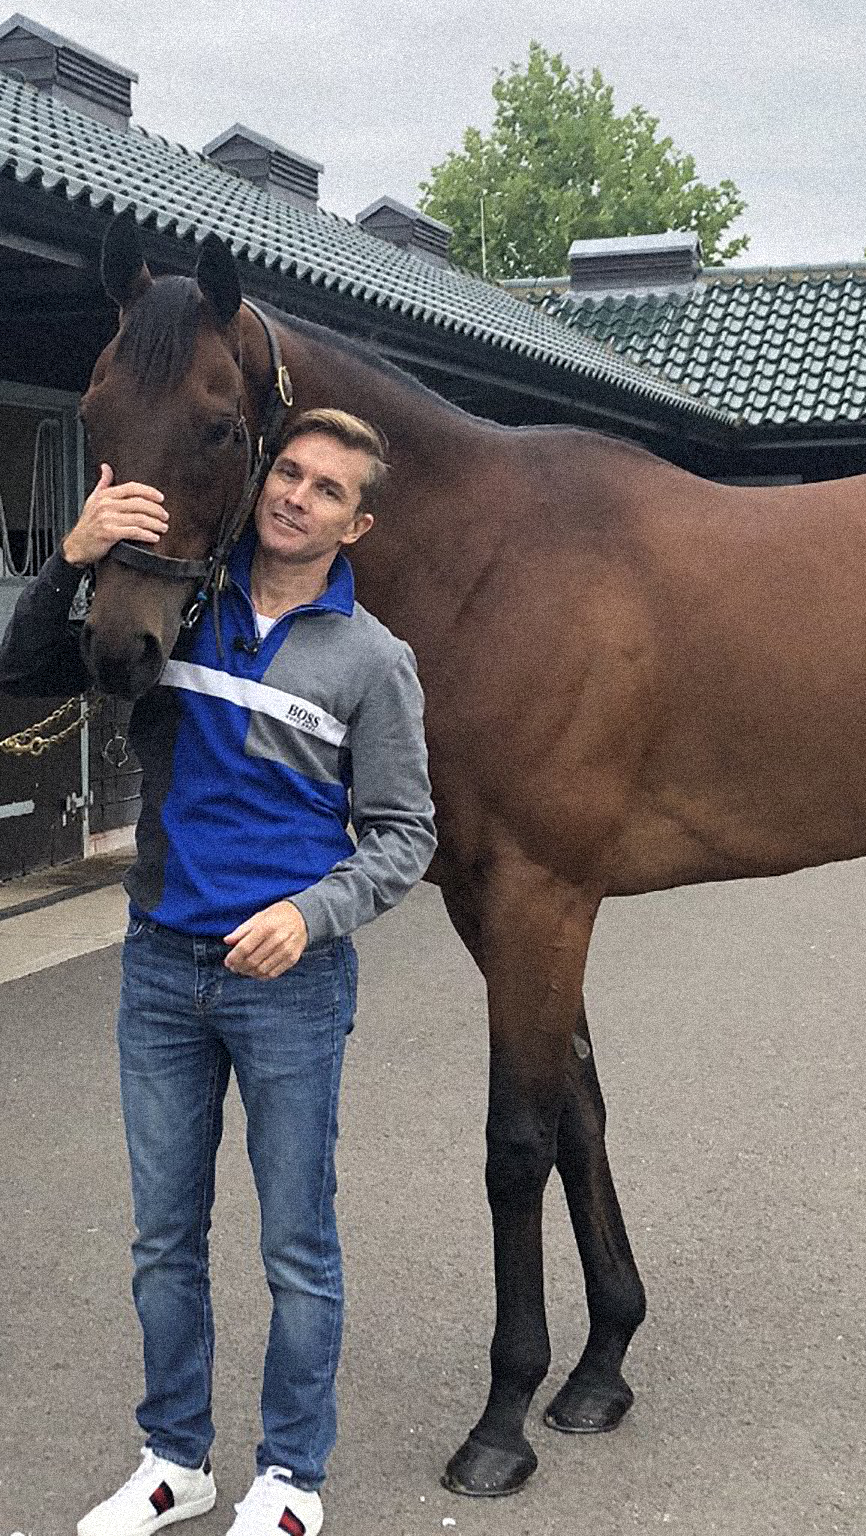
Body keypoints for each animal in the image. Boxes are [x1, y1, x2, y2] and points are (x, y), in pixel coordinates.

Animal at [79, 210, 866, 1492]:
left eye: (217, 426)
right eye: (95, 415)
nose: (117, 649)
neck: (490, 564)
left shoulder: (541, 898)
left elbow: (514, 1144)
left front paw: (502, 1418)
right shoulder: (494, 903)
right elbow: (578, 1118)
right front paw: (598, 1368)